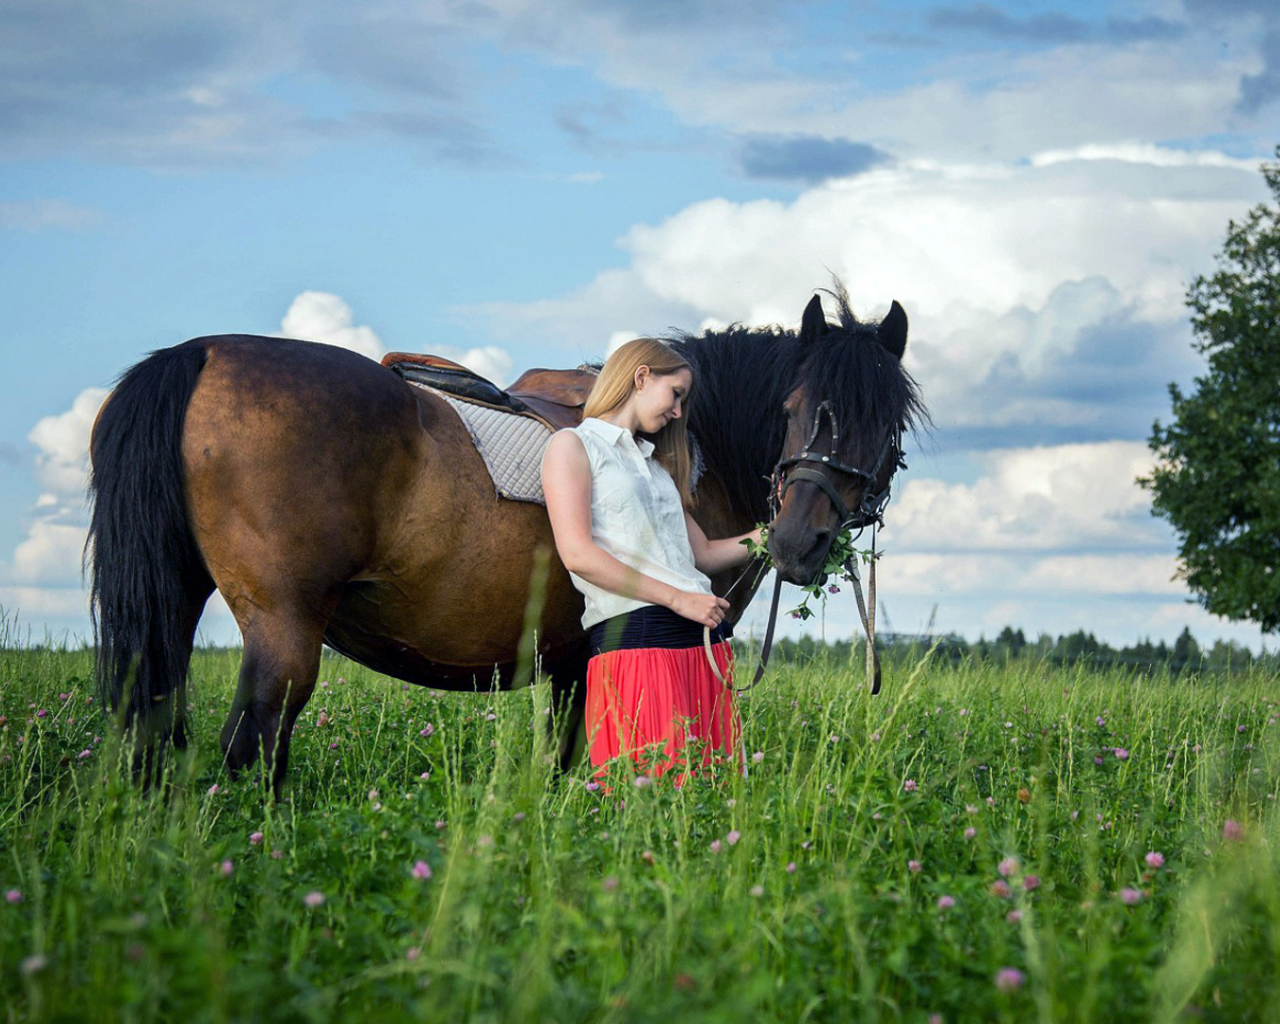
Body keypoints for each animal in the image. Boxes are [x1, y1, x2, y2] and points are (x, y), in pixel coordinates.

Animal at [90, 288, 926, 793]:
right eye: (792, 407)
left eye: (887, 420)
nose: (797, 541)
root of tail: (202, 352)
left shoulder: (569, 662)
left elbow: (558, 764)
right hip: (283, 628)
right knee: (254, 743)